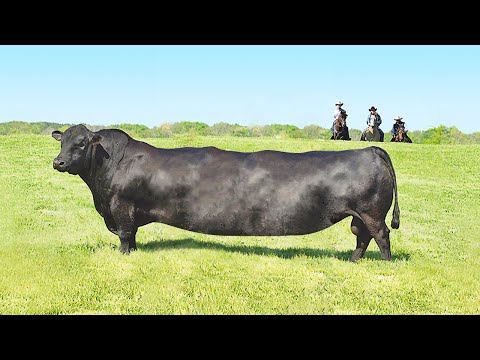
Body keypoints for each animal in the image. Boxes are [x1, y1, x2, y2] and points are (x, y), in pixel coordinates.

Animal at [50, 124, 400, 262]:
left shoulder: (120, 206)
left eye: (81, 143)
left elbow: (124, 235)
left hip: (371, 212)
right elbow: (132, 236)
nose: (58, 162)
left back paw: (385, 265)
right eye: (62, 141)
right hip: (360, 214)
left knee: (380, 235)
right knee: (361, 237)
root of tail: (370, 149)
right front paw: (133, 254)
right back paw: (352, 262)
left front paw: (123, 257)